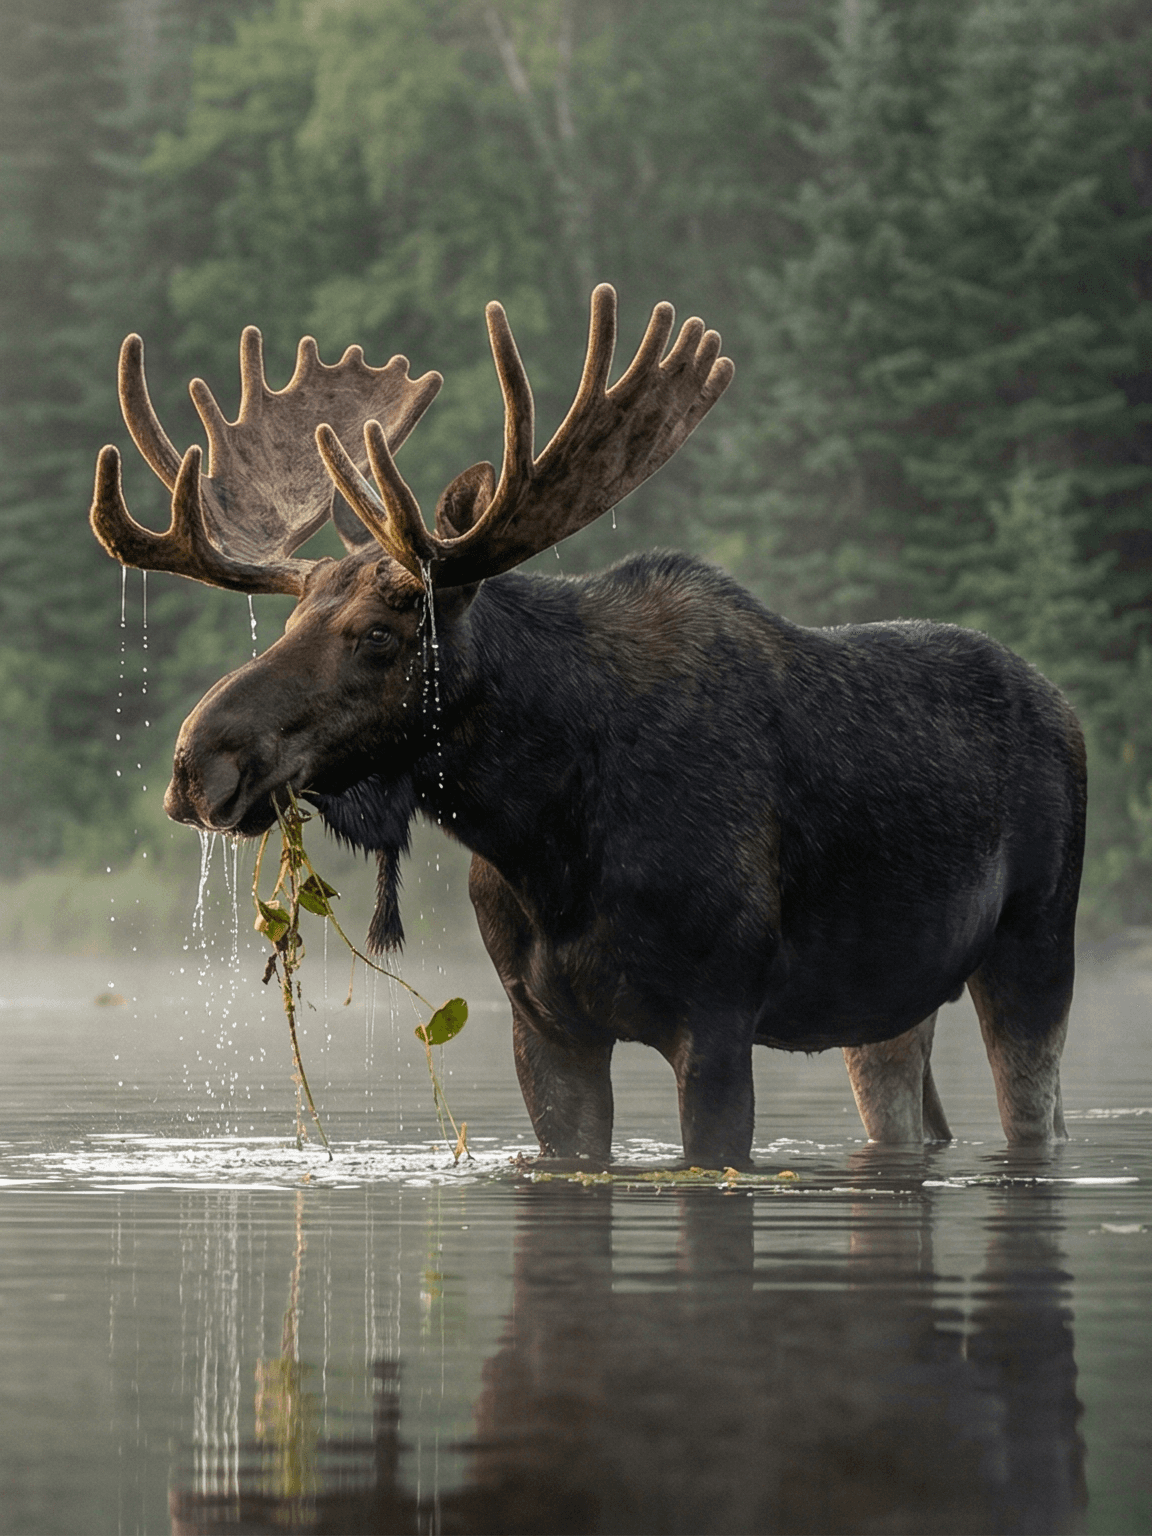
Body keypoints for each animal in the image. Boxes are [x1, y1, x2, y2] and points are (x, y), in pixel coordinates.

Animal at [89, 285, 1085, 1168]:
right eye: (292, 618)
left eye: (379, 634)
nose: (196, 763)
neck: (545, 833)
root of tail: (1065, 707)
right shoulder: (544, 1026)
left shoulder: (717, 1015)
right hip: (885, 999)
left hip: (1037, 944)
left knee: (1036, 1113)